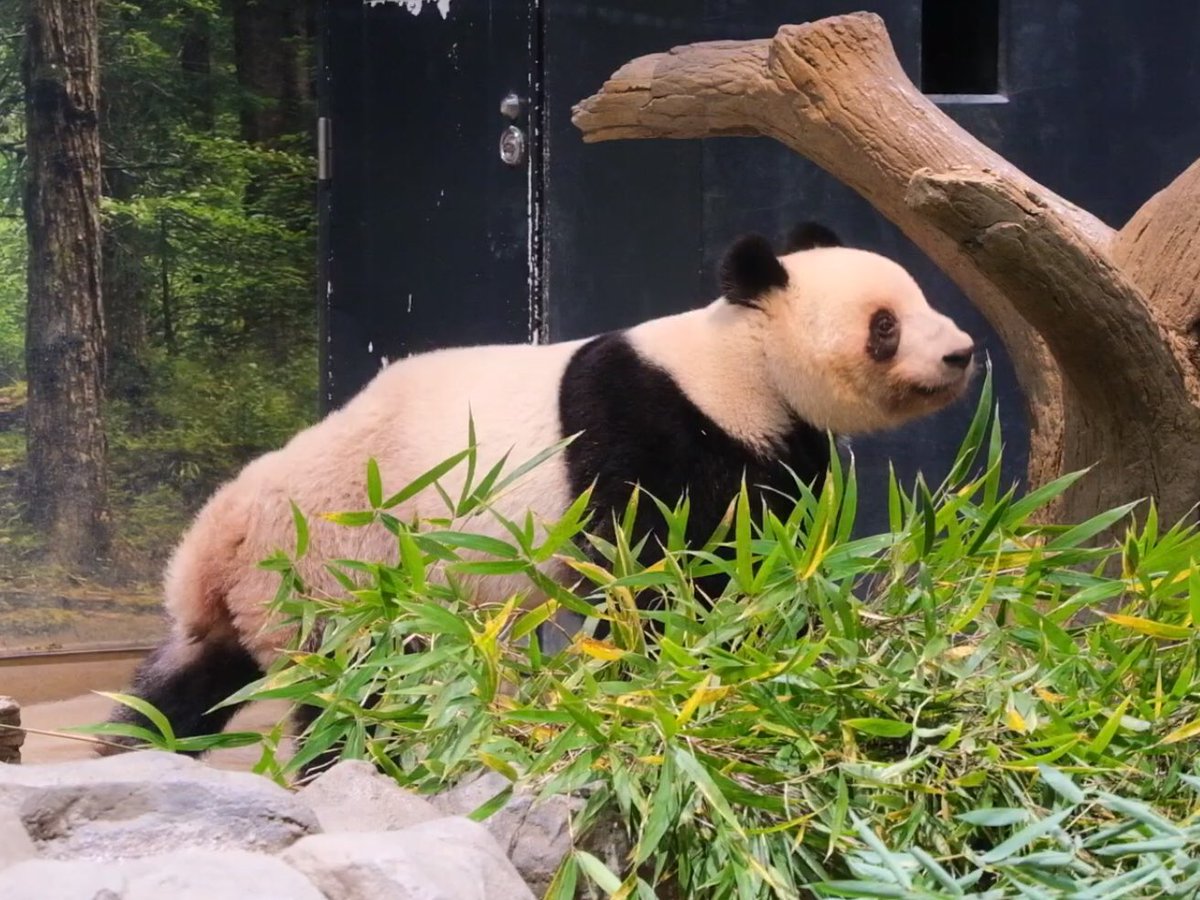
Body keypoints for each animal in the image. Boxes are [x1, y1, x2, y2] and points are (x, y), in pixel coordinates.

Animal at [100, 222, 975, 753]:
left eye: (922, 301)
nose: (962, 352)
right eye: (885, 324)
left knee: (194, 682)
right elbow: (658, 570)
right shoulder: (645, 425)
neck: (741, 367)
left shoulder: (776, 450)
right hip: (345, 562)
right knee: (360, 684)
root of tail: (216, 540)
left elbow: (772, 552)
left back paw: (137, 747)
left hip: (272, 595)